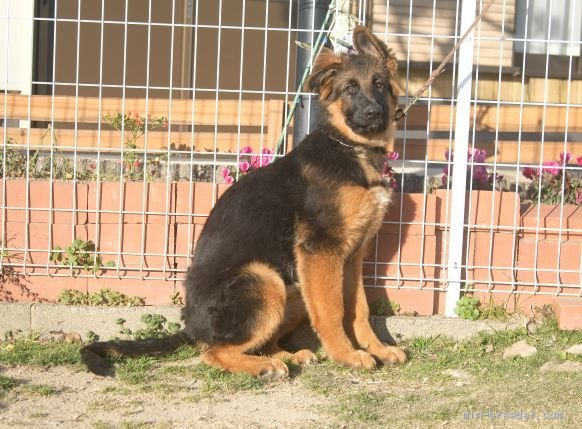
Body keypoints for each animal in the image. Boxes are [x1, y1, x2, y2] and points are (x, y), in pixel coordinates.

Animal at [82, 25, 408, 378]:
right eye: (350, 88)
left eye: (379, 84)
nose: (374, 113)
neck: (351, 148)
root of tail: (191, 328)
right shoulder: (321, 251)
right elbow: (333, 310)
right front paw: (347, 355)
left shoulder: (352, 255)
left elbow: (358, 308)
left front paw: (377, 349)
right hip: (263, 279)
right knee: (213, 351)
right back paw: (265, 366)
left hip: (293, 287)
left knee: (255, 341)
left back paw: (286, 356)